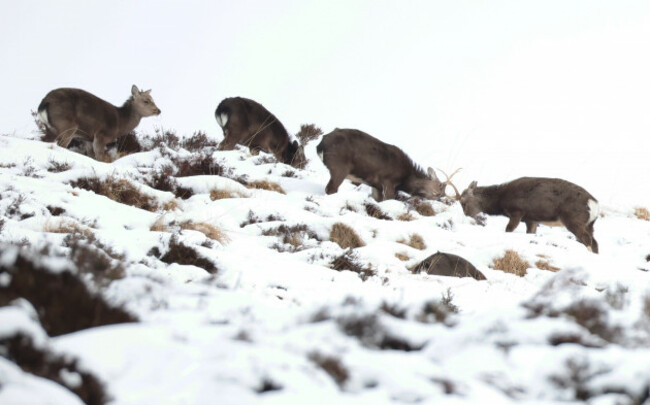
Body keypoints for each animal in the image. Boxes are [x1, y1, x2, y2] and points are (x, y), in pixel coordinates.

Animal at [316, 128, 454, 202]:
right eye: (438, 192)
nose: (441, 198)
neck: (404, 178)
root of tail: (321, 144)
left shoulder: (376, 186)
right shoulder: (387, 182)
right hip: (339, 168)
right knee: (330, 189)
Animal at [457, 177, 599, 253]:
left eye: (463, 202)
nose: (467, 216)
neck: (501, 199)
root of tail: (594, 205)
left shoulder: (517, 211)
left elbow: (508, 230)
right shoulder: (531, 220)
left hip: (573, 220)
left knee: (587, 239)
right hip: (589, 224)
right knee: (595, 243)